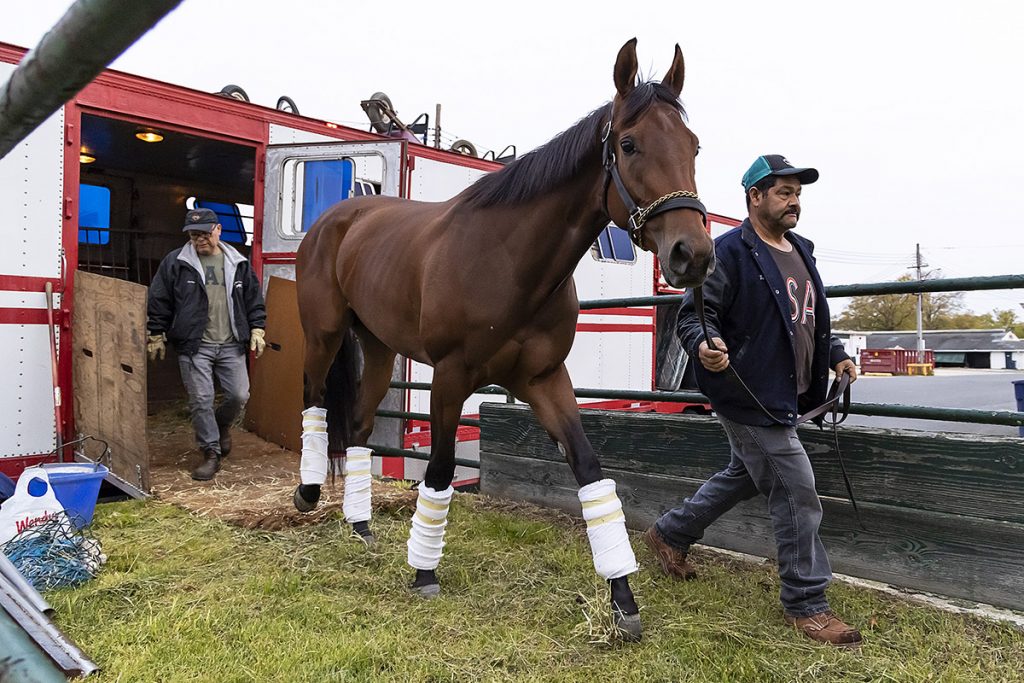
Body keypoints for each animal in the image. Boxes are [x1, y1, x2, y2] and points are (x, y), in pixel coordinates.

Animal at [292, 38, 714, 641]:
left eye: (693, 146)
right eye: (629, 144)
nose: (693, 254)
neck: (508, 261)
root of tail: (342, 215)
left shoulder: (544, 380)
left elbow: (590, 472)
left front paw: (622, 597)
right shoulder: (449, 379)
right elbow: (441, 469)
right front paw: (424, 572)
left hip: (377, 348)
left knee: (357, 426)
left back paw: (360, 526)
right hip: (325, 333)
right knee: (313, 400)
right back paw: (307, 495)